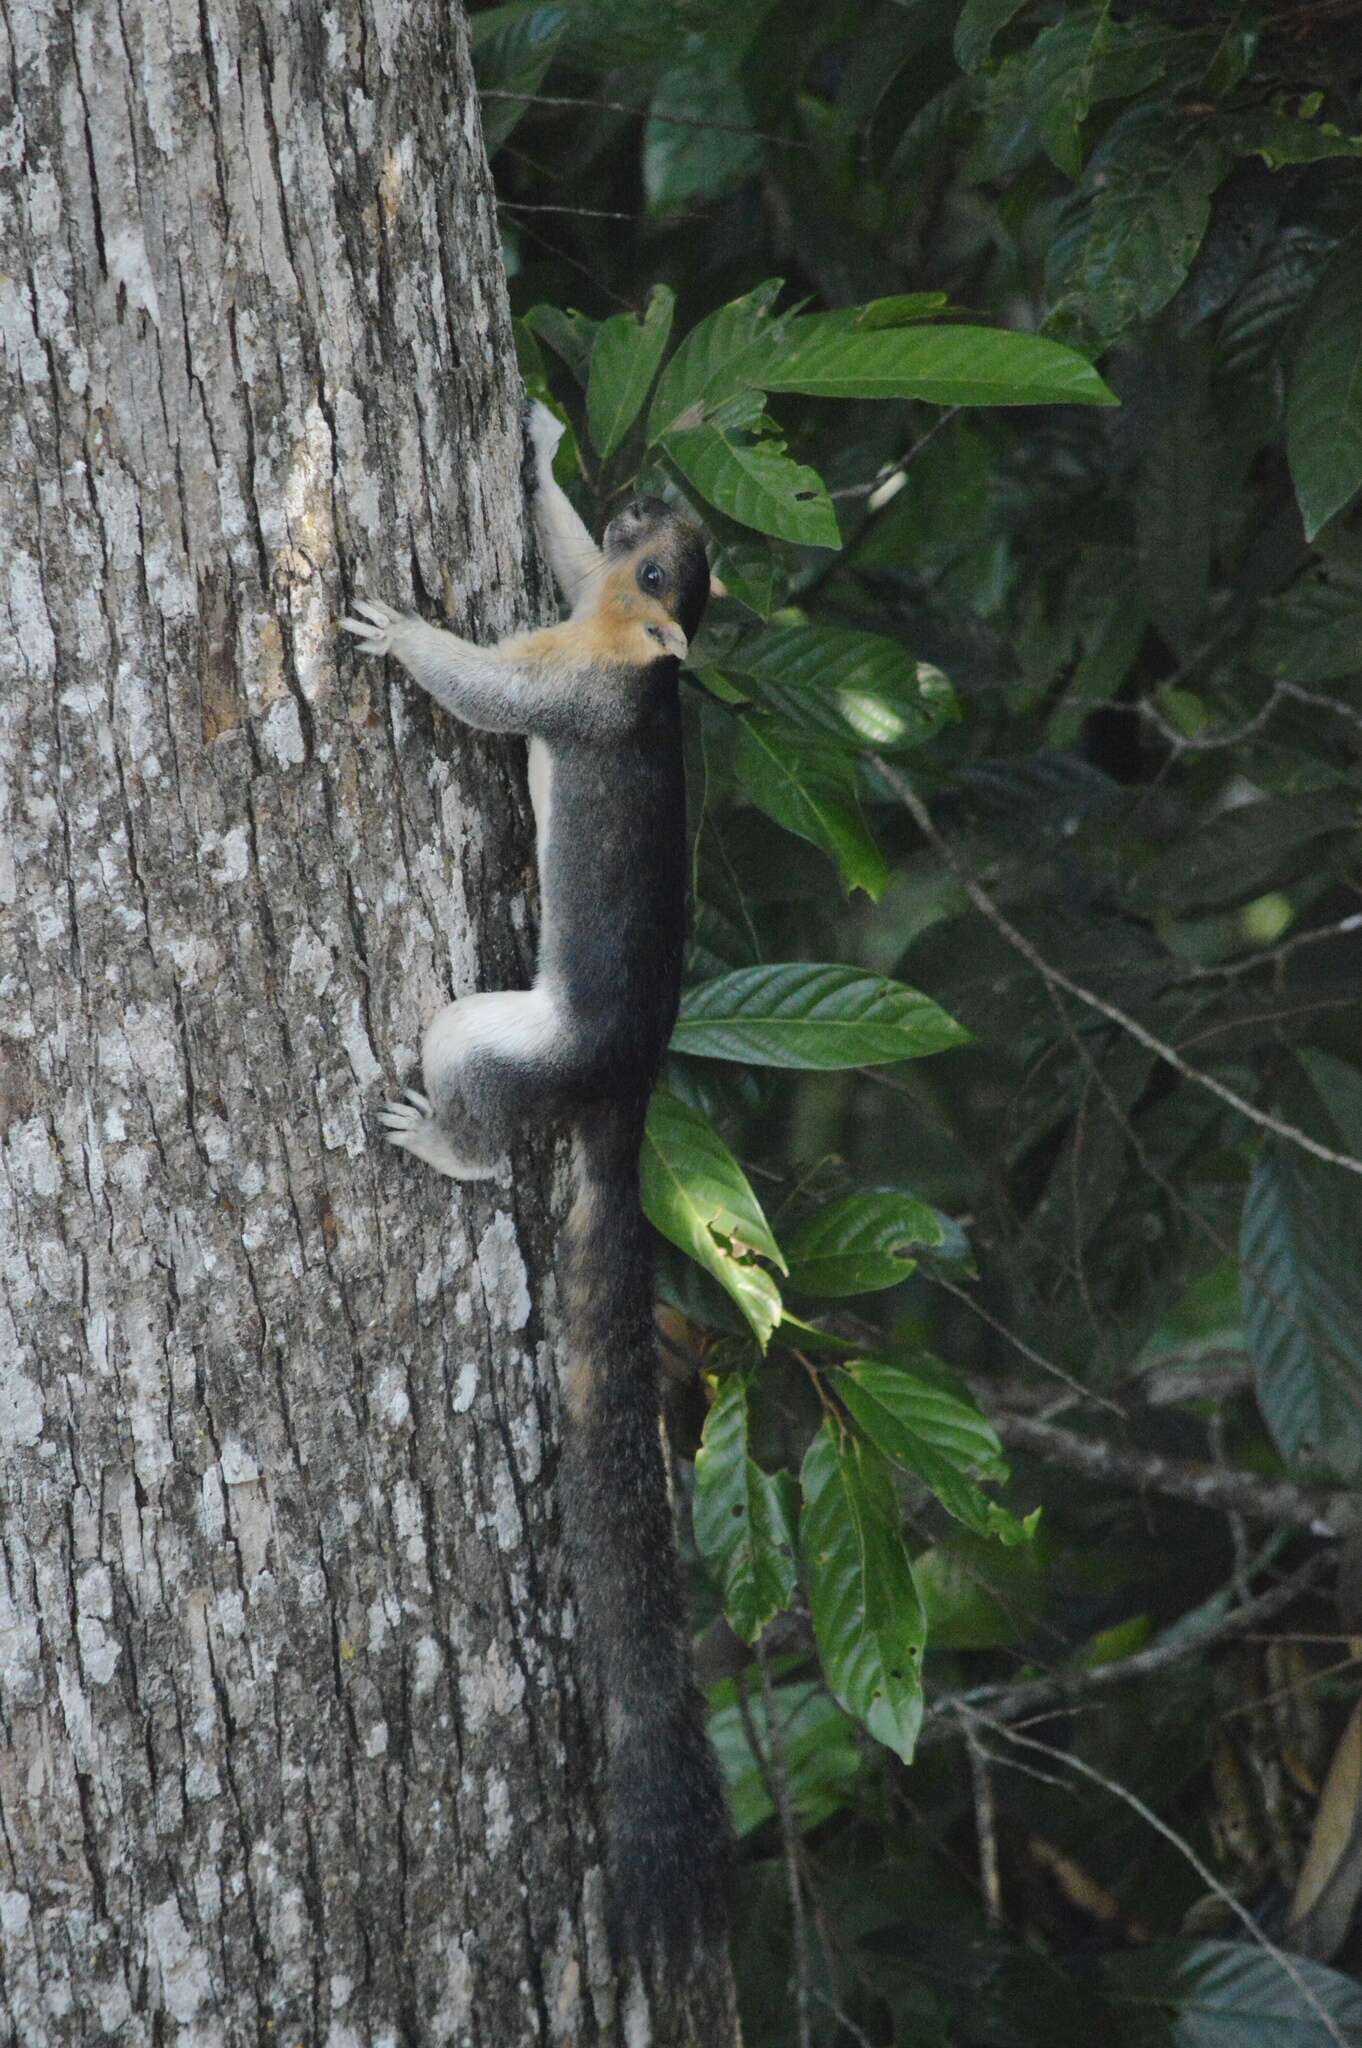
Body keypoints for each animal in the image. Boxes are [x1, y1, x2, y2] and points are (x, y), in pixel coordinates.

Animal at [337, 399, 729, 1949]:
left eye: (667, 572)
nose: (657, 499)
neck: (638, 661)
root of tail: (620, 1094)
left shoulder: (563, 682)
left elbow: (483, 688)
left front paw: (394, 627)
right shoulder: (574, 610)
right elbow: (547, 543)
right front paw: (549, 445)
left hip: (492, 1037)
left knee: (480, 1105)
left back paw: (436, 1139)